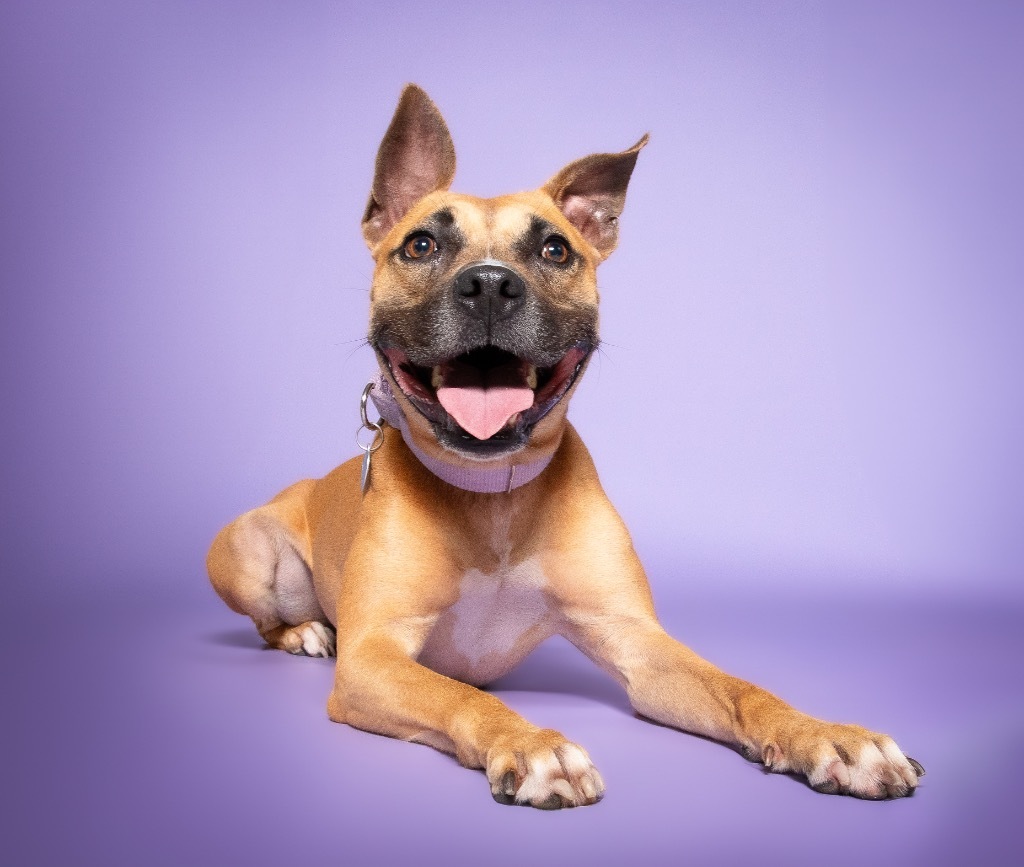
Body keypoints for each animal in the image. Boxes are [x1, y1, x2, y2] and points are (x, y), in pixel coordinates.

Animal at [205, 84, 921, 810]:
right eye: (421, 243)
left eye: (554, 250)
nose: (489, 285)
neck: (491, 493)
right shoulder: (372, 658)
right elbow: (458, 694)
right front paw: (529, 742)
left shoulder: (641, 645)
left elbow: (743, 690)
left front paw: (826, 735)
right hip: (250, 551)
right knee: (271, 619)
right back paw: (303, 629)